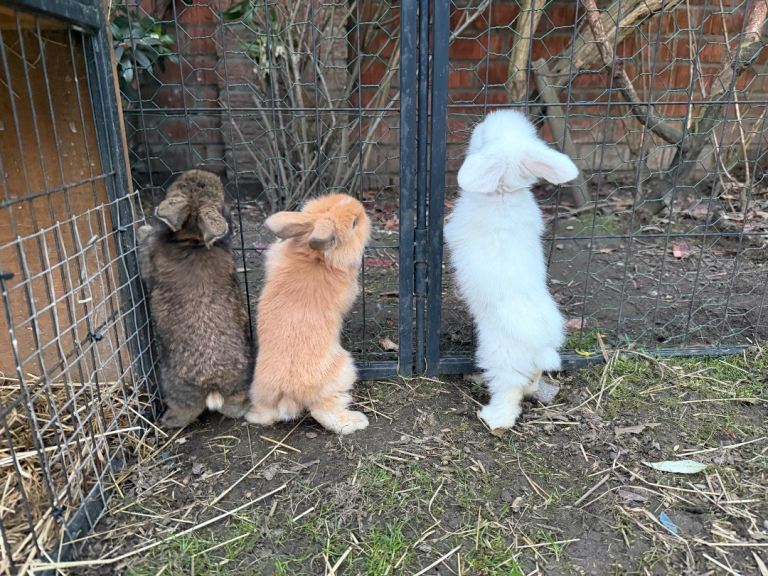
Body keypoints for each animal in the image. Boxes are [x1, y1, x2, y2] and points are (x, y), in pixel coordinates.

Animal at [245, 193, 371, 435]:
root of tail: (287, 395)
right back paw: (357, 421)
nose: (362, 209)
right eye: (354, 224)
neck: (313, 255)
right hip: (344, 370)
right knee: (322, 410)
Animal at [443, 109, 579, 432]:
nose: (478, 124)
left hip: (500, 356)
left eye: (484, 135)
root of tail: (540, 342)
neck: (502, 191)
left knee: (510, 388)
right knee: (531, 379)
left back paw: (494, 418)